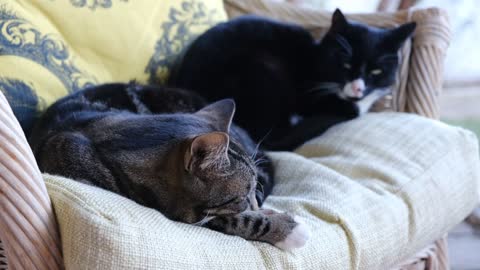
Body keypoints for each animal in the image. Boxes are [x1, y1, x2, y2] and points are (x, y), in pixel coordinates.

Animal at [30, 83, 310, 251]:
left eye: (254, 190)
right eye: (242, 196)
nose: (255, 202)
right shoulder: (186, 215)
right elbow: (230, 220)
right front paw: (286, 229)